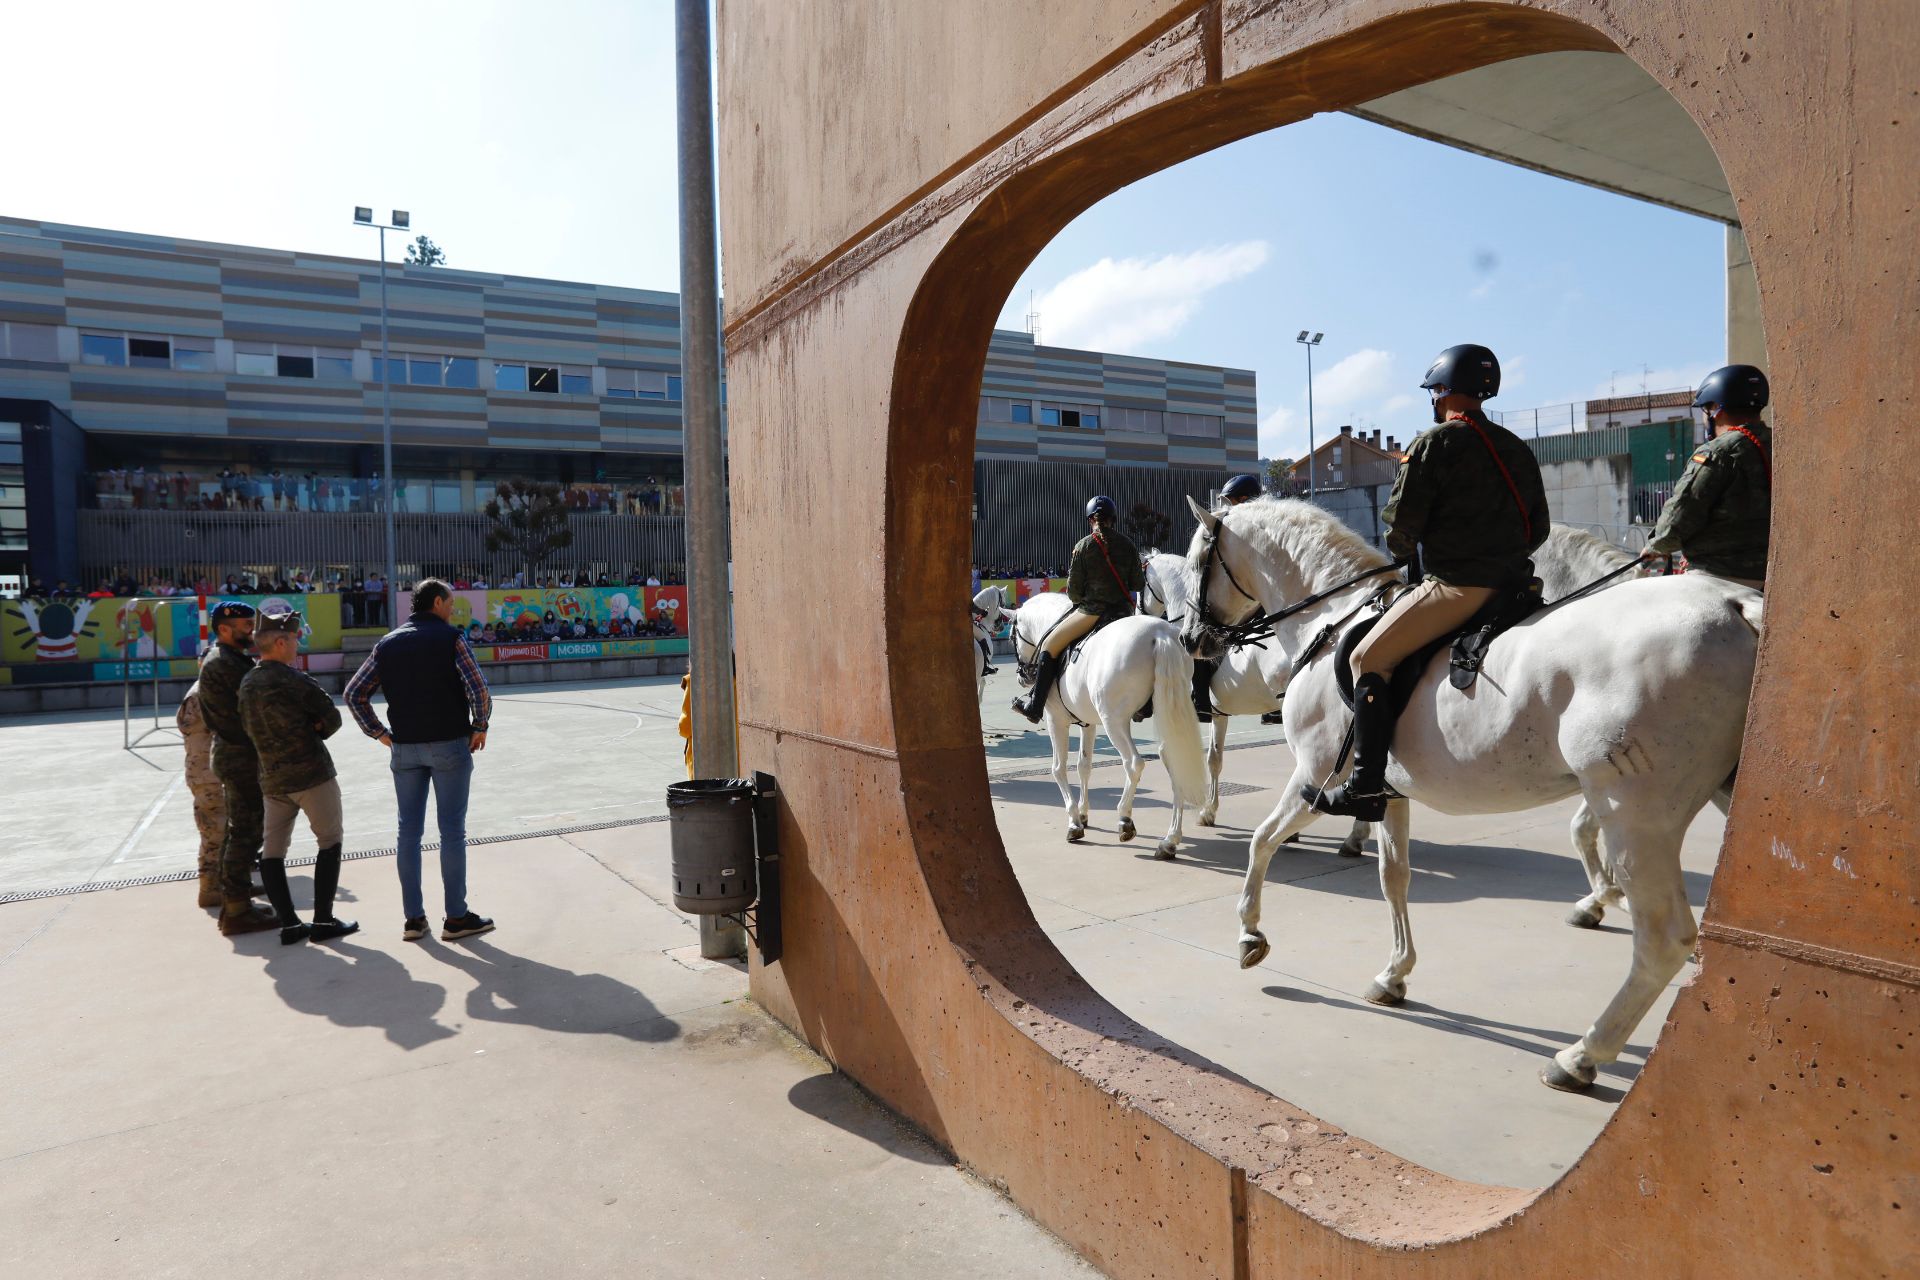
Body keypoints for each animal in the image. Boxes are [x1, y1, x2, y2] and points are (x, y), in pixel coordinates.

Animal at [1013, 594, 1205, 855]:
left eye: (1013, 634)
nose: (1022, 675)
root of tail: (1160, 633)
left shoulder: (1056, 721)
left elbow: (1058, 768)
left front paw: (1074, 821)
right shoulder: (1088, 724)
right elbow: (1084, 766)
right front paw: (1083, 814)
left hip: (1114, 721)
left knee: (1133, 763)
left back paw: (1125, 818)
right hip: (1167, 713)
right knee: (1175, 760)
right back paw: (1170, 840)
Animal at [1190, 495, 1758, 1097]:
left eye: (1198, 557)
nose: (1191, 639)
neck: (1333, 620)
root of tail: (1733, 603)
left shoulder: (1313, 777)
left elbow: (1261, 842)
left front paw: (1249, 933)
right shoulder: (1388, 793)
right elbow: (1394, 878)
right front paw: (1394, 973)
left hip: (1635, 814)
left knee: (1663, 938)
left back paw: (1582, 1054)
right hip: (1718, 792)